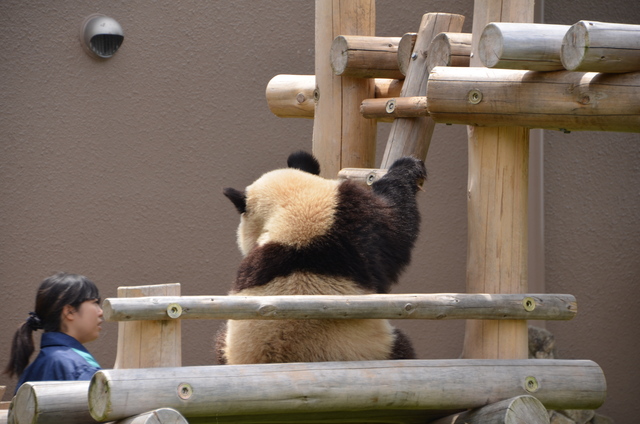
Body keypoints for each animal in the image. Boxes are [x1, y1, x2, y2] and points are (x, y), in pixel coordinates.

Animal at [218, 150, 428, 364]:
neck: (293, 204)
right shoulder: (357, 217)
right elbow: (396, 222)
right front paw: (407, 166)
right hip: (368, 346)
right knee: (402, 348)